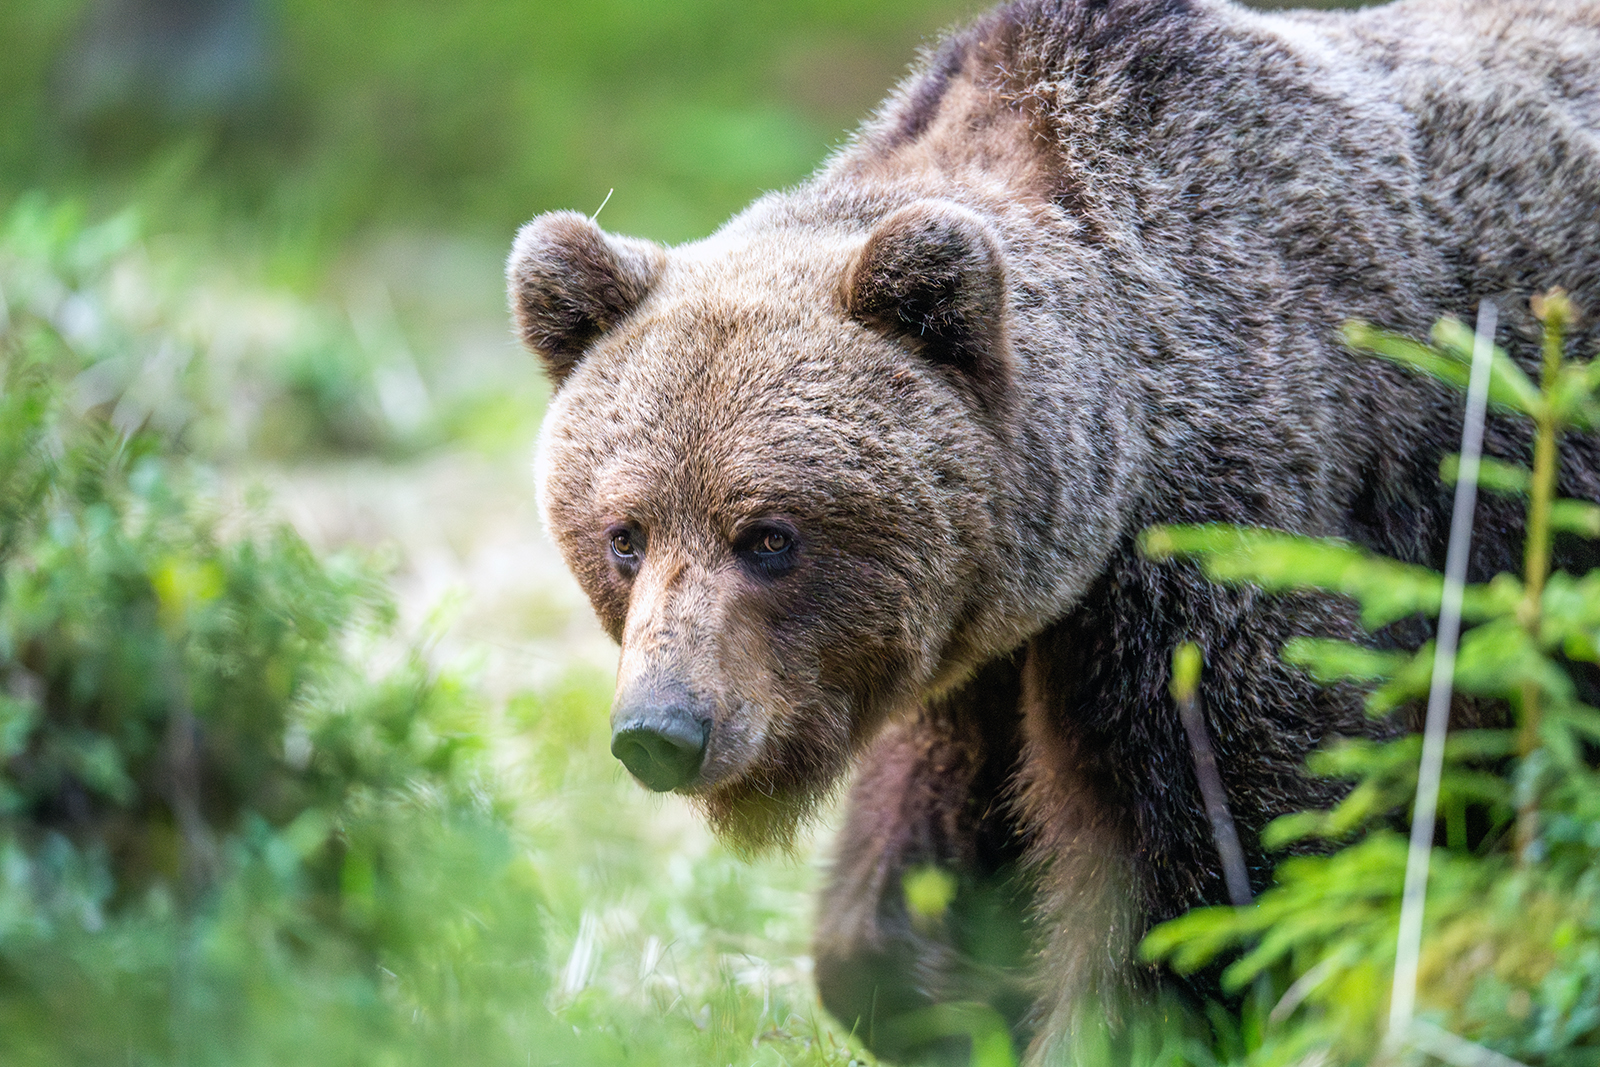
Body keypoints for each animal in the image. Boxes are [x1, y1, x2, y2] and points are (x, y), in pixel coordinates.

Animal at [508, 0, 1600, 1062]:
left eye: (771, 535)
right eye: (626, 533)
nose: (661, 728)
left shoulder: (1220, 543)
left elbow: (1217, 845)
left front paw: (1112, 1017)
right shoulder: (976, 637)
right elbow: (935, 832)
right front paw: (933, 984)